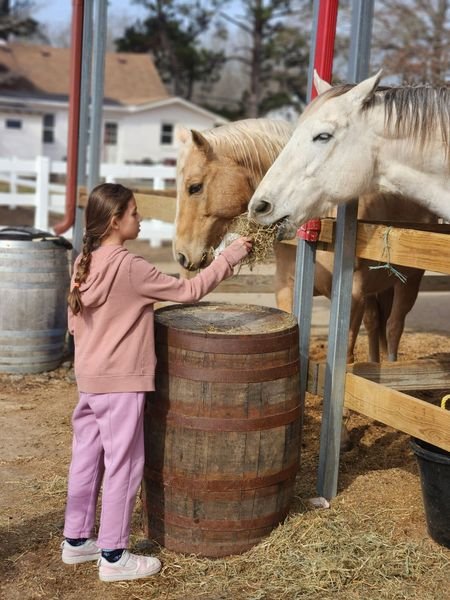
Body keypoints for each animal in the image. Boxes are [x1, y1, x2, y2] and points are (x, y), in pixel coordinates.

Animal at [174, 118, 436, 363]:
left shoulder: (352, 297)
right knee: (374, 326)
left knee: (393, 327)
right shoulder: (286, 288)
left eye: (194, 187)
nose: (181, 255)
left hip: (409, 281)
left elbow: (347, 357)